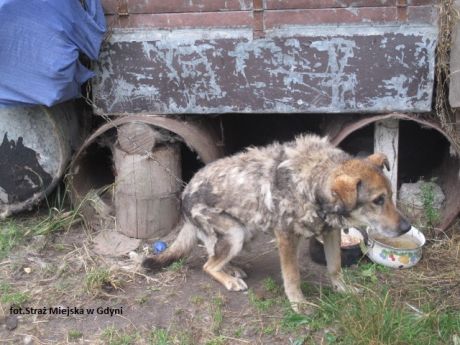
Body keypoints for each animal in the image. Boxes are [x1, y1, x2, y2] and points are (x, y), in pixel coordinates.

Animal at [143, 134, 410, 310]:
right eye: (377, 200)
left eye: (390, 196)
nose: (406, 227)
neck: (313, 180)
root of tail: (185, 193)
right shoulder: (286, 238)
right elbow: (292, 276)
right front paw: (299, 304)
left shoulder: (331, 232)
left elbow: (335, 267)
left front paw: (343, 290)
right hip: (236, 234)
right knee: (208, 265)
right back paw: (230, 280)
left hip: (244, 231)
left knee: (212, 256)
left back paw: (232, 269)